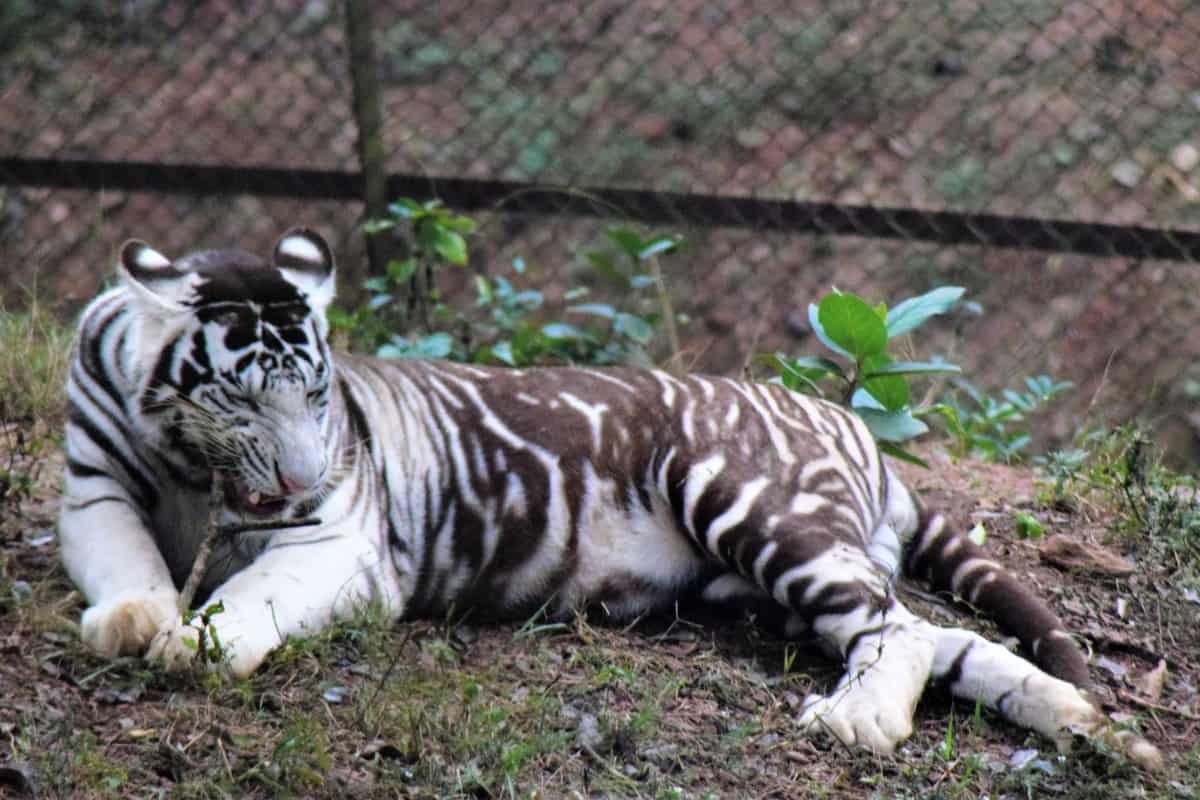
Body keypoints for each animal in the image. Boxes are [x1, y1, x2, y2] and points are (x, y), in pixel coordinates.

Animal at [58, 227, 1161, 767]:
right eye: (246, 394)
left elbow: (245, 597)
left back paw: (858, 723)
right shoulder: (91, 486)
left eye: (318, 395)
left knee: (900, 633)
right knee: (942, 637)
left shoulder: (335, 541)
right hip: (769, 583)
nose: (297, 477)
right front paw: (134, 618)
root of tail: (850, 427)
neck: (193, 466)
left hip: (756, 506)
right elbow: (123, 559)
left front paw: (194, 642)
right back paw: (1092, 726)